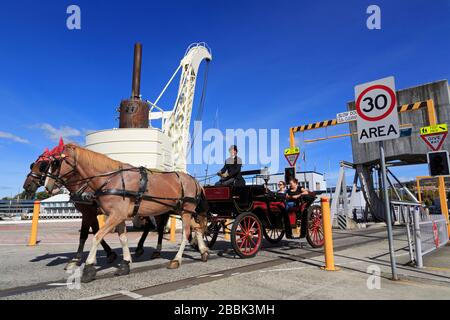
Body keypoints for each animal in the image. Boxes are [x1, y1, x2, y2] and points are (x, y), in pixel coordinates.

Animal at [42, 142, 209, 282]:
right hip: (183, 210)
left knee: (185, 234)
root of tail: (194, 181)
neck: (111, 179)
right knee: (197, 227)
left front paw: (89, 268)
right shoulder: (118, 217)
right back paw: (203, 251)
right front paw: (125, 264)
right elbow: (123, 239)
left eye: (56, 163)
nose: (47, 186)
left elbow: (96, 236)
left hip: (185, 211)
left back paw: (177, 259)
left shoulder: (113, 215)